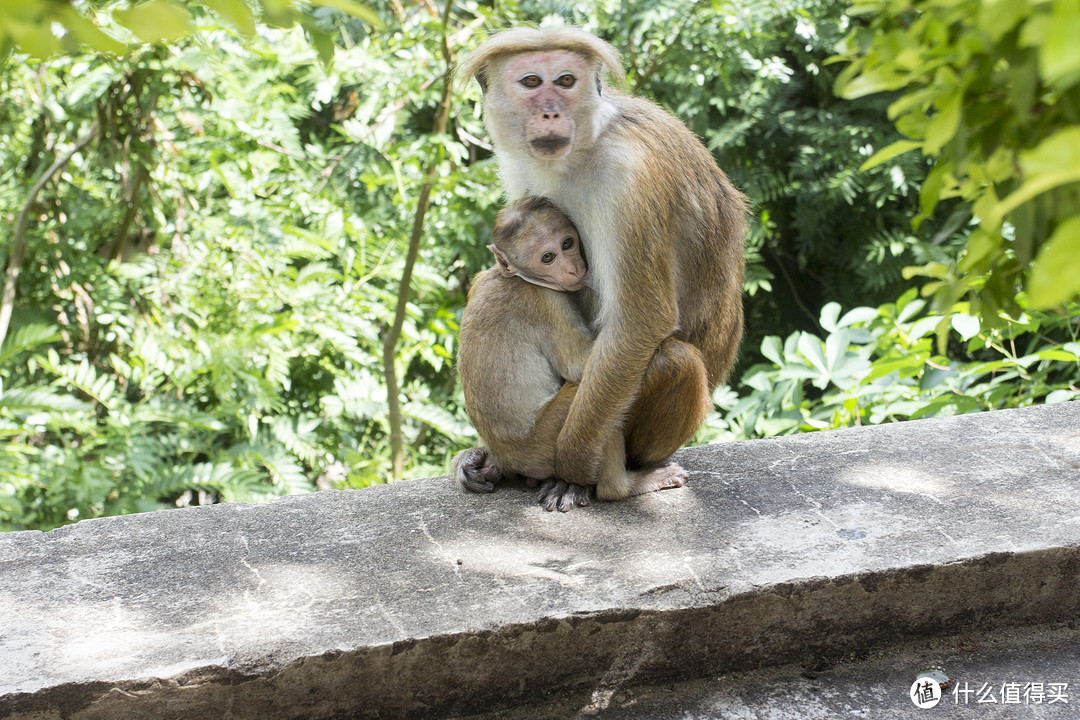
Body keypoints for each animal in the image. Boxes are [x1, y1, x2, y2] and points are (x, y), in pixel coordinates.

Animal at [453, 197, 686, 511]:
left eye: (567, 243)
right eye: (548, 257)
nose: (574, 269)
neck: (521, 278)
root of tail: (508, 455)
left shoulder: (480, 279)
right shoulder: (546, 302)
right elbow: (581, 366)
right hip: (544, 444)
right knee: (590, 394)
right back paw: (623, 487)